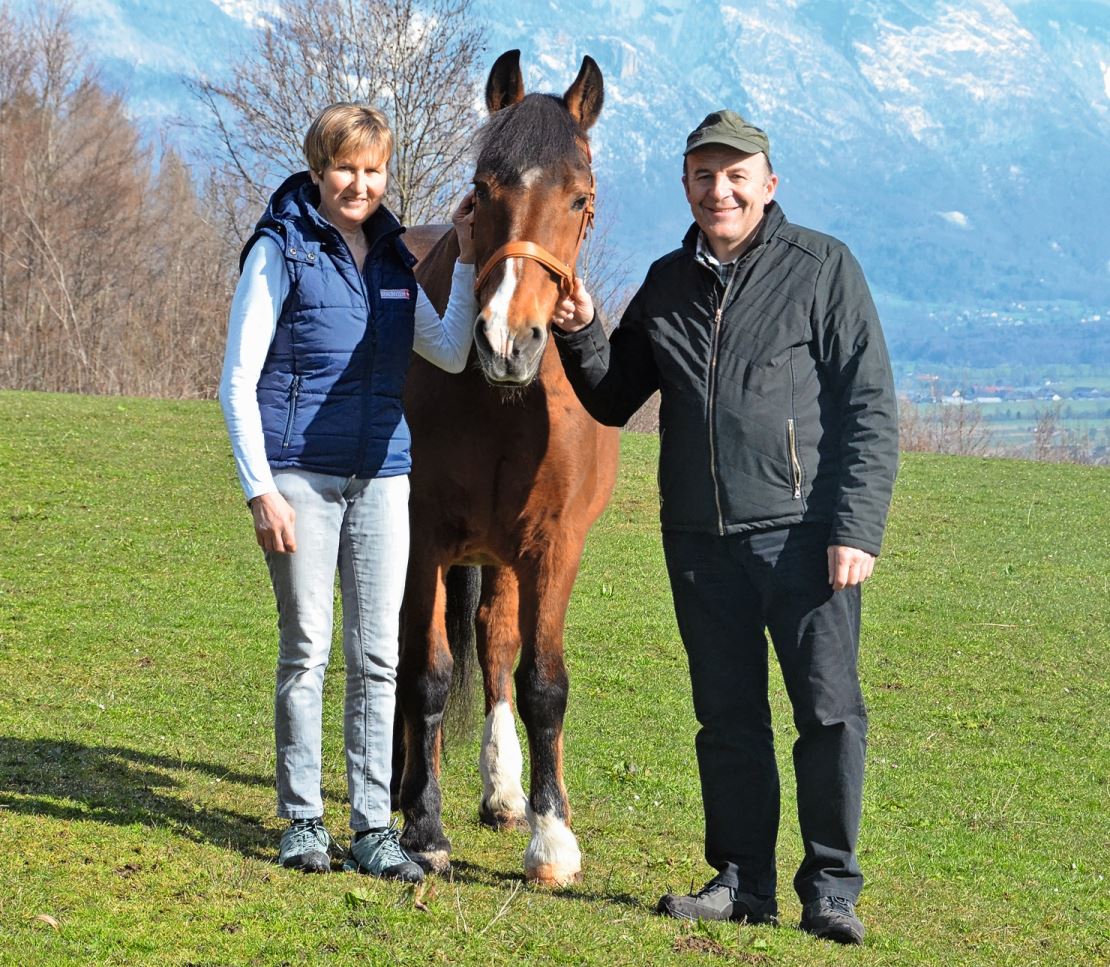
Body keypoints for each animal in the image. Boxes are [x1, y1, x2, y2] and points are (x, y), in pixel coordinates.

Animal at [395, 51, 621, 883]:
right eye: (483, 187)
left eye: (581, 196)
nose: (505, 339)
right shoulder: (422, 534)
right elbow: (424, 672)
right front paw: (423, 826)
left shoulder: (552, 546)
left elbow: (540, 683)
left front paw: (551, 836)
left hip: (502, 556)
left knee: (494, 642)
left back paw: (503, 791)